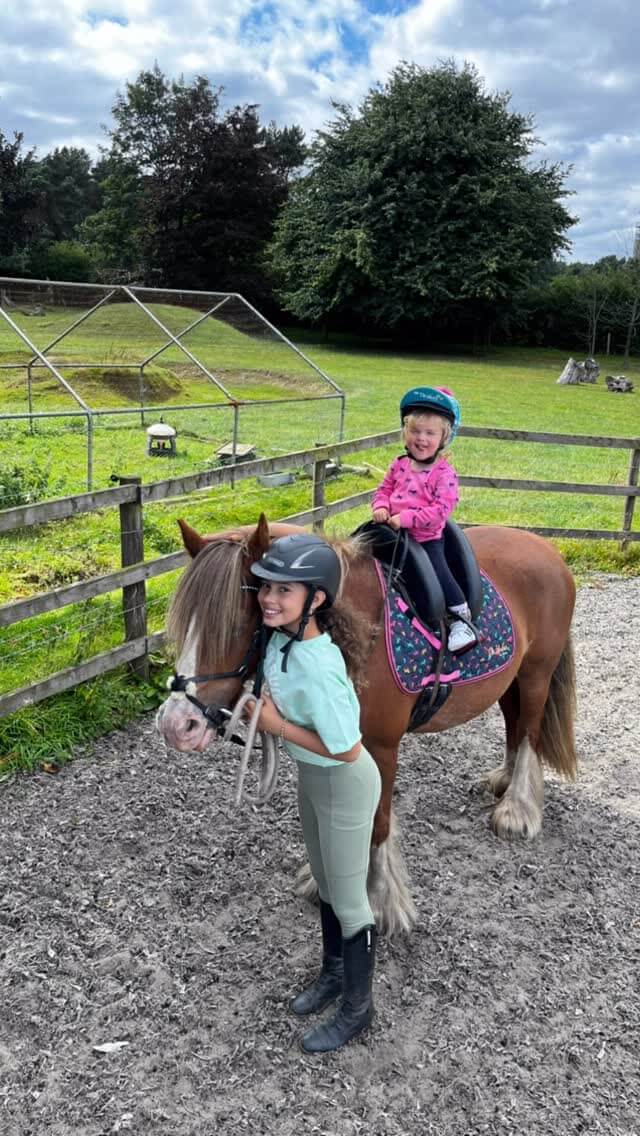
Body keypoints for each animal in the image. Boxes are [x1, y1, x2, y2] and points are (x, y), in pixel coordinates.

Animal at [157, 515, 577, 935]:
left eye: (237, 623)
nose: (177, 726)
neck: (354, 635)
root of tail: (548, 549)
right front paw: (324, 881)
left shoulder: (381, 746)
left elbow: (377, 821)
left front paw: (379, 900)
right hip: (510, 678)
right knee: (513, 721)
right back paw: (504, 781)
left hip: (536, 674)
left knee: (530, 730)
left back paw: (517, 810)